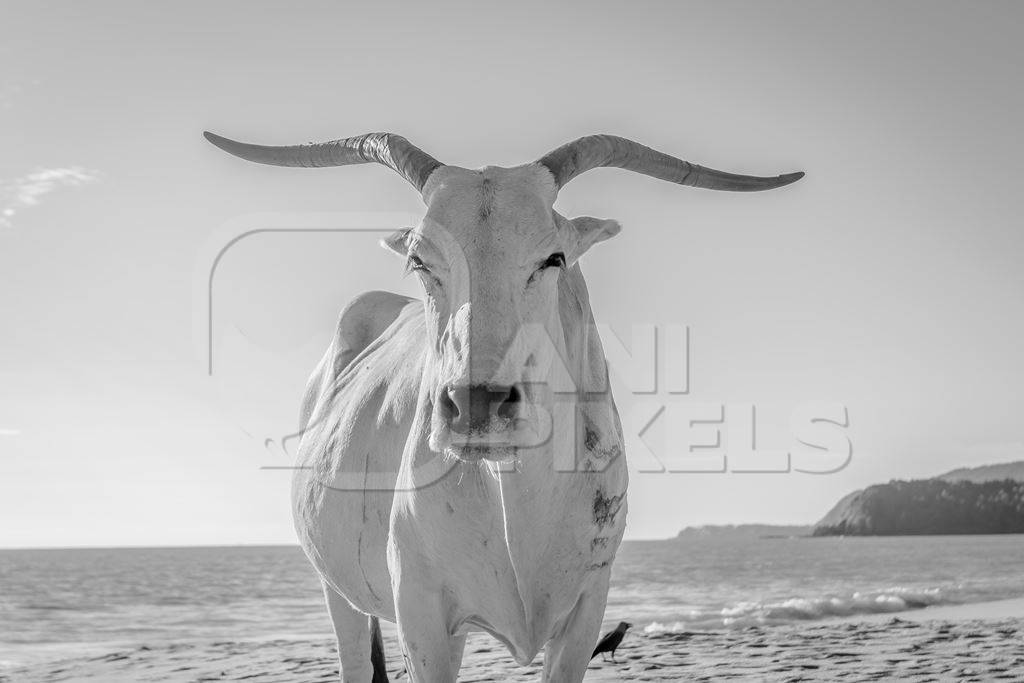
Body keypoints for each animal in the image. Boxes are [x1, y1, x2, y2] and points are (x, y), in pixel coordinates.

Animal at [203, 129, 802, 683]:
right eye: (420, 260)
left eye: (554, 257)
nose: (475, 406)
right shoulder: (422, 618)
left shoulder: (586, 612)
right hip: (339, 593)